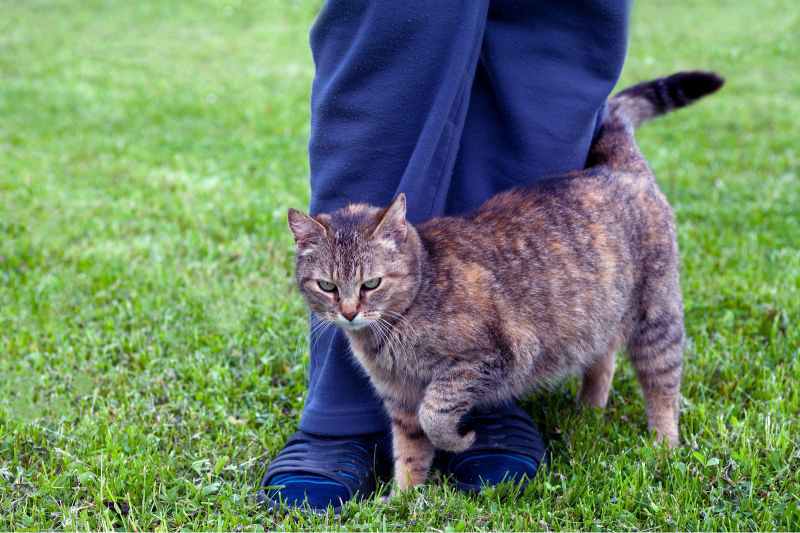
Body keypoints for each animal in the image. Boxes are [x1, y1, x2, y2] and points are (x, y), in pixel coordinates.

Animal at [286, 70, 724, 490]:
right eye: (328, 286)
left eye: (371, 284)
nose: (348, 312)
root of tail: (619, 166)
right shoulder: (400, 397)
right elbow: (410, 451)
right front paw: (405, 499)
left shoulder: (495, 356)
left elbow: (436, 411)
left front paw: (458, 441)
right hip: (599, 312)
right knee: (604, 355)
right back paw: (588, 409)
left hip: (657, 316)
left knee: (663, 385)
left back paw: (663, 445)